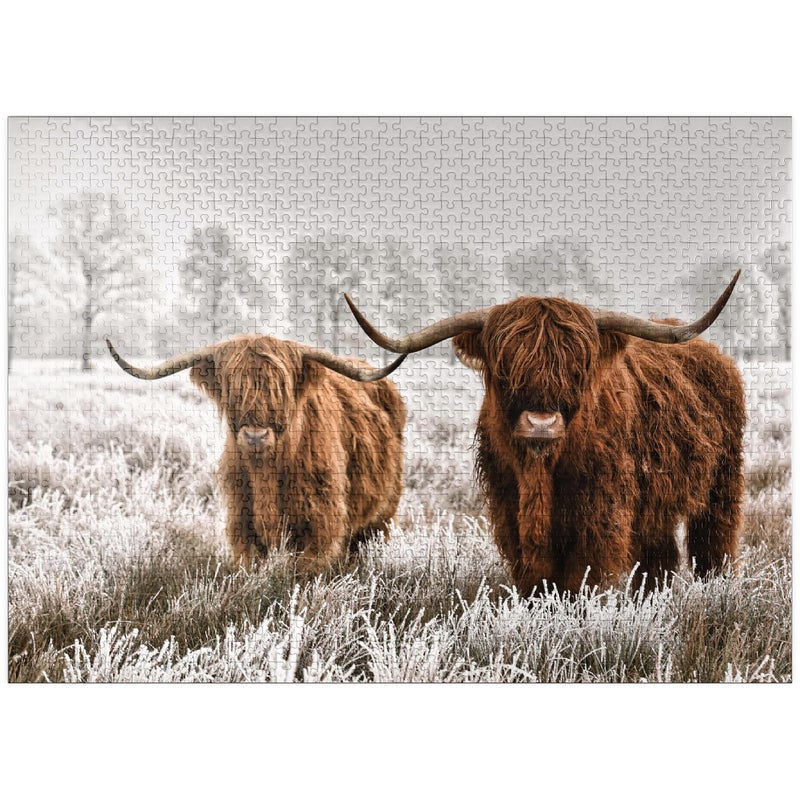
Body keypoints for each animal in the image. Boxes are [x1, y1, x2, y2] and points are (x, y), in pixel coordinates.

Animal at [106, 335, 407, 573]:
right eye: (233, 388)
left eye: (281, 389)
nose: (255, 436)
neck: (266, 473)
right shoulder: (243, 524)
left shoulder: (319, 528)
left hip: (383, 513)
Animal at [344, 272, 745, 595]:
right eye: (505, 368)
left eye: (577, 368)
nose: (541, 424)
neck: (541, 472)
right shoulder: (509, 511)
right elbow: (536, 580)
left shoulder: (601, 517)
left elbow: (583, 580)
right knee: (659, 558)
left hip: (722, 485)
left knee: (714, 545)